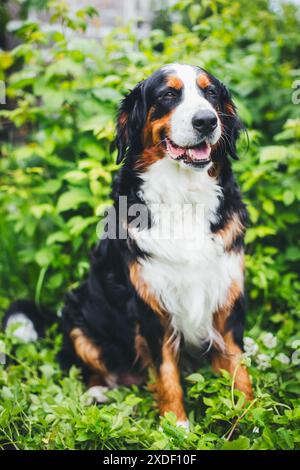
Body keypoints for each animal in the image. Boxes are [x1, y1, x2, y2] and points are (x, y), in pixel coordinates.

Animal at [4, 64, 253, 432]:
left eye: (210, 93)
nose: (206, 121)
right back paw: (97, 392)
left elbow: (238, 367)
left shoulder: (226, 294)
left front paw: (251, 416)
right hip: (78, 318)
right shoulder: (152, 304)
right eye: (168, 94)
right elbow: (166, 373)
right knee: (87, 366)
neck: (183, 196)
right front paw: (176, 426)